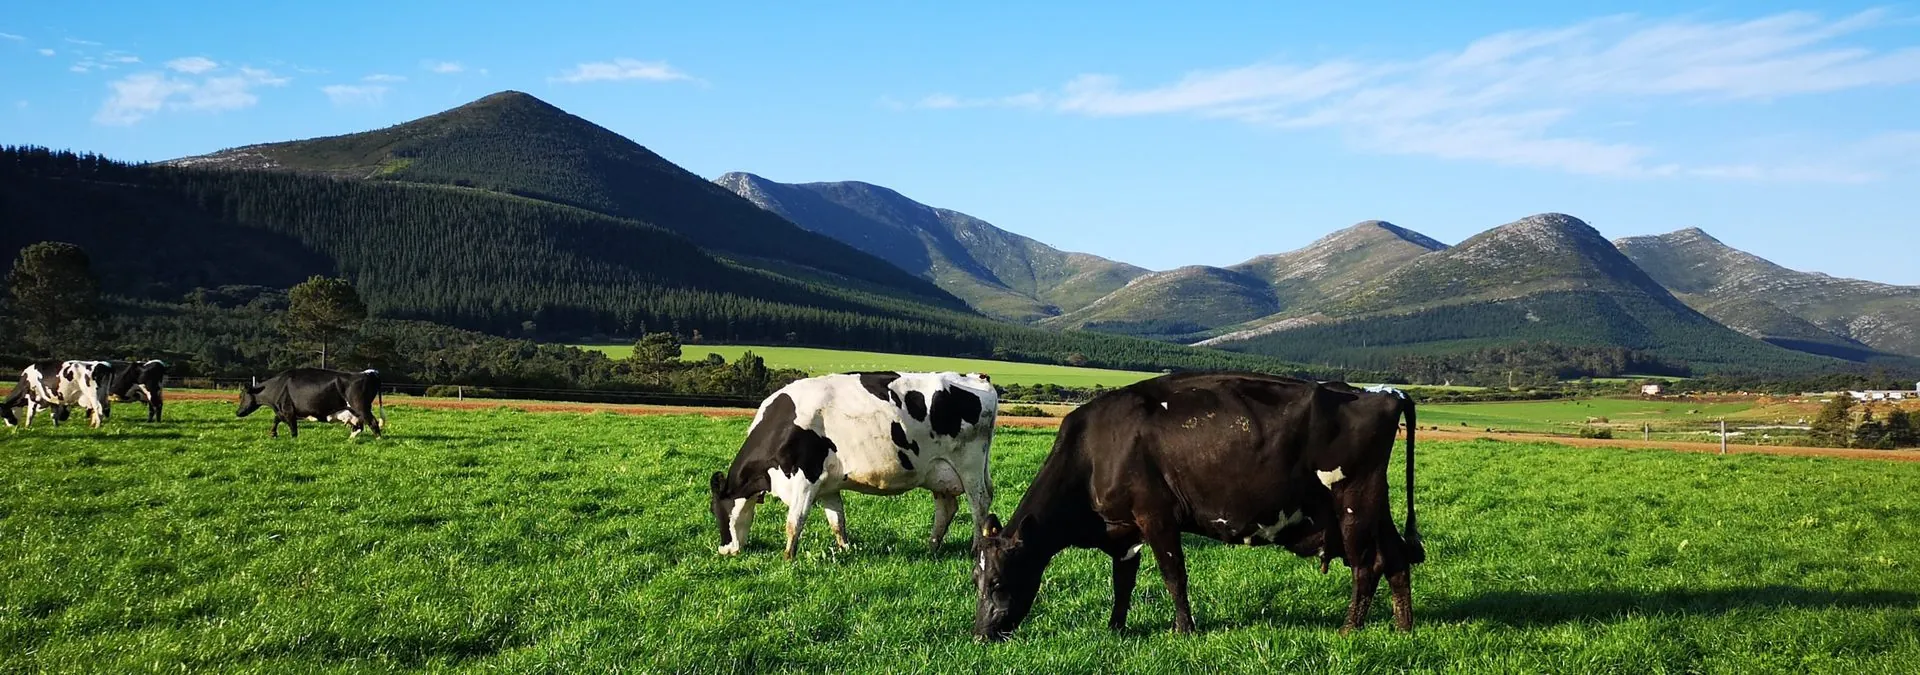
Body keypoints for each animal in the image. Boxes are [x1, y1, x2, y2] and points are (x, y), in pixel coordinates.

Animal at [236, 367, 385, 438]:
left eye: (242, 396)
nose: (237, 412)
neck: (278, 386)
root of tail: (367, 373)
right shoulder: (282, 410)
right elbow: (276, 419)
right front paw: (273, 434)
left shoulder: (288, 410)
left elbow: (293, 428)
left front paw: (293, 439)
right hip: (355, 410)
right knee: (359, 426)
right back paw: (350, 439)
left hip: (361, 407)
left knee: (372, 422)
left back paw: (379, 440)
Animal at [709, 371, 999, 560]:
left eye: (714, 511)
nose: (725, 550)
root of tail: (978, 378)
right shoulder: (827, 486)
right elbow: (837, 520)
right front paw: (845, 549)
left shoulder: (806, 477)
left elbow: (795, 520)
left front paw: (788, 556)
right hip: (939, 471)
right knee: (947, 508)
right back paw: (932, 546)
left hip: (970, 465)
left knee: (979, 504)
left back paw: (975, 548)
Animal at [970, 371, 1423, 641]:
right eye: (975, 580)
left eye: (997, 583)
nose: (980, 634)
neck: (1094, 451)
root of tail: (1382, 395)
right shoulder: (1125, 531)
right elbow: (1123, 582)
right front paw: (1115, 628)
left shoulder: (1156, 516)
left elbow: (1174, 576)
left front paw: (1183, 630)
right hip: (1375, 504)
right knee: (1395, 558)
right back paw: (1403, 627)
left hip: (1353, 502)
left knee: (1367, 566)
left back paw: (1350, 629)